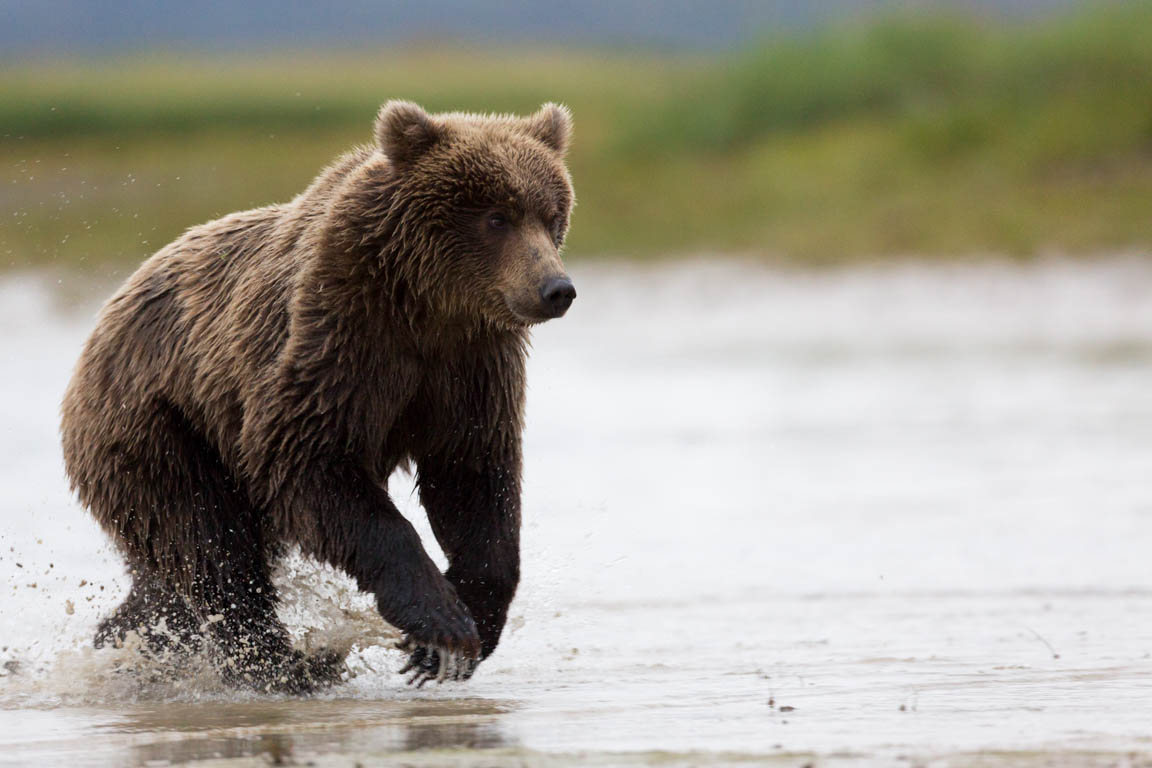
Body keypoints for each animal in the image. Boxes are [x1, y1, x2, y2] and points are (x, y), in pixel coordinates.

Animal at [58, 99, 576, 695]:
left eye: (551, 214)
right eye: (496, 216)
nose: (556, 289)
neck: (426, 306)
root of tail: (102, 323)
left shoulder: (471, 369)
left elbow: (473, 482)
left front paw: (460, 634)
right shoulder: (336, 340)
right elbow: (310, 463)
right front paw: (439, 622)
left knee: (174, 573)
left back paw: (129, 641)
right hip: (159, 427)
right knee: (211, 551)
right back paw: (284, 663)